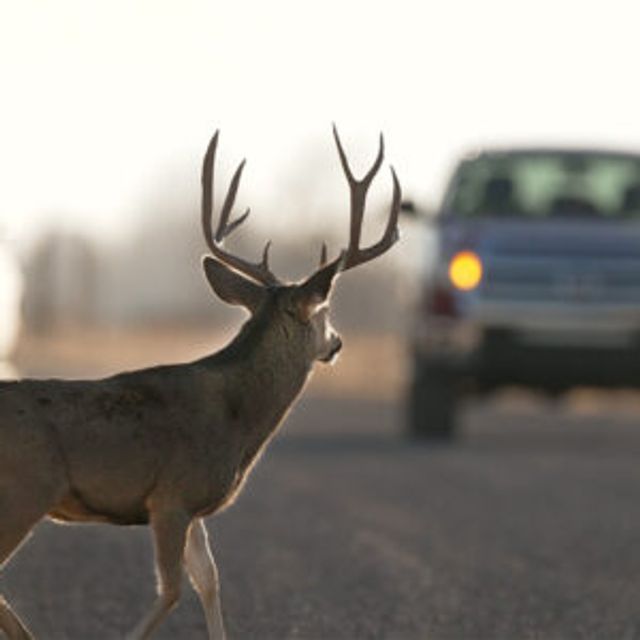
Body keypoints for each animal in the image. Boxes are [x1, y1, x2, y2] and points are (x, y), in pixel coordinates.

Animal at [0, 125, 400, 640]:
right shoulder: (172, 494)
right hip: (25, 488)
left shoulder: (193, 507)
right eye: (325, 310)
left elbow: (209, 581)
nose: (338, 343)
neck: (237, 417)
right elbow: (172, 590)